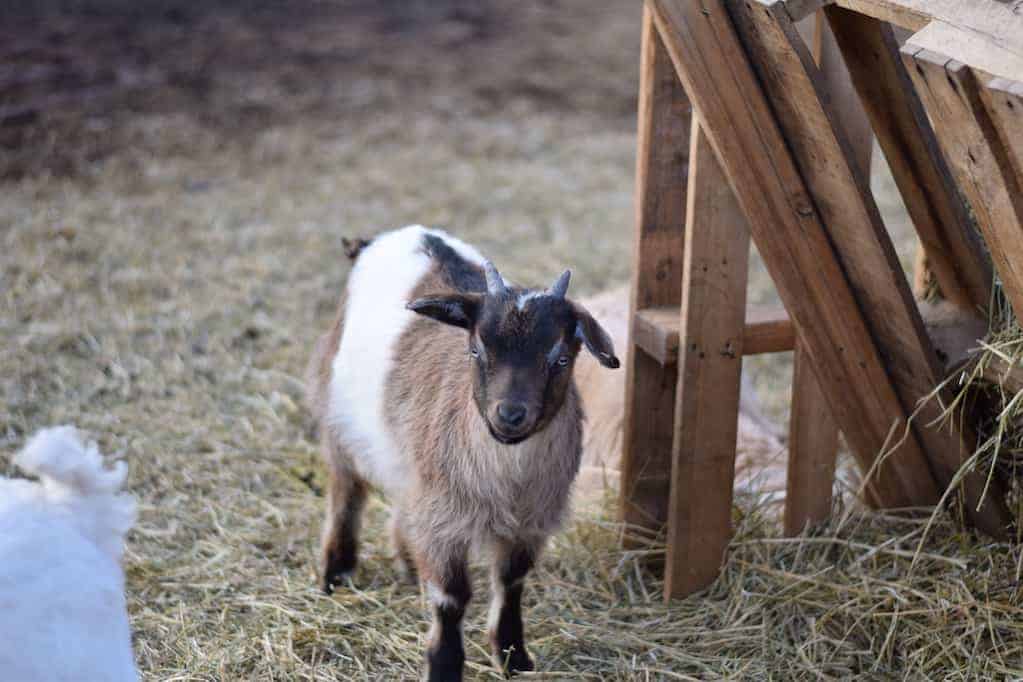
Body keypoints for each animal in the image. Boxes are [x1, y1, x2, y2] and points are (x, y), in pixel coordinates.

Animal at [306, 226, 617, 678]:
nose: (510, 414)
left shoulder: (529, 522)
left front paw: (513, 657)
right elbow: (451, 598)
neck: (508, 474)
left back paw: (406, 564)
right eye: (476, 349)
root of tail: (402, 234)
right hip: (337, 421)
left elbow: (511, 583)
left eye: (560, 358)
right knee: (347, 494)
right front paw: (444, 667)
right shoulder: (444, 521)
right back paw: (337, 572)